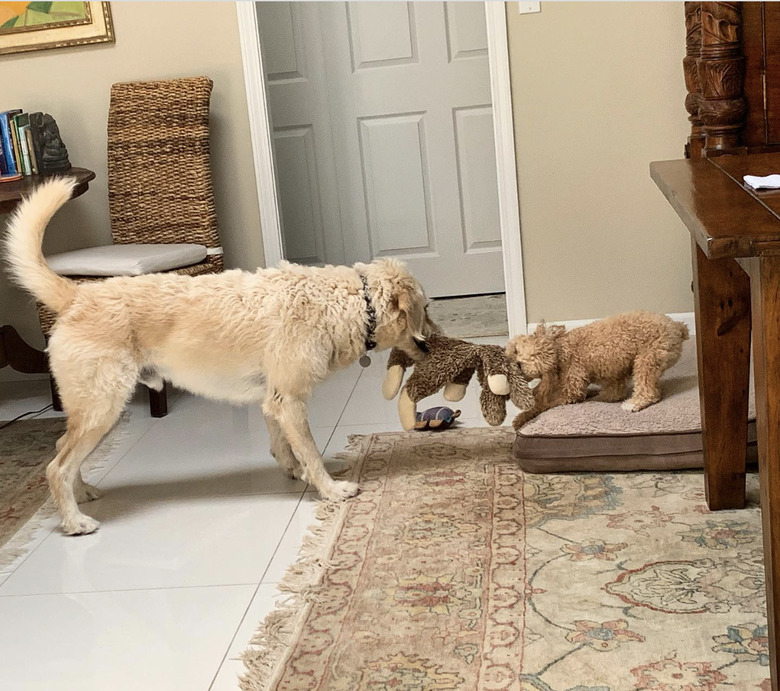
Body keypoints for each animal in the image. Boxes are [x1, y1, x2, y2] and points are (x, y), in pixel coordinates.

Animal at [7, 177, 432, 536]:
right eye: (425, 308)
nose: (433, 342)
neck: (345, 303)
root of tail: (77, 296)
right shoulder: (290, 400)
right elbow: (310, 451)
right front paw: (330, 488)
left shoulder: (273, 401)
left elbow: (284, 446)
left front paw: (294, 471)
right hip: (102, 407)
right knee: (56, 467)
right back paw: (74, 521)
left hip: (95, 410)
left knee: (62, 452)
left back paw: (83, 494)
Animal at [506, 312, 688, 428]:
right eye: (516, 350)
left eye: (520, 364)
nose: (511, 361)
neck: (560, 349)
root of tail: (677, 327)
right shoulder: (613, 376)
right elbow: (613, 392)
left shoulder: (571, 388)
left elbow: (544, 403)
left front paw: (520, 418)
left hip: (647, 359)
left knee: (649, 391)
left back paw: (634, 403)